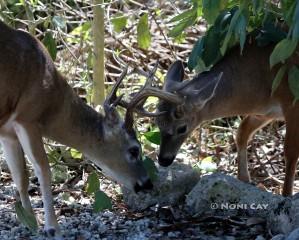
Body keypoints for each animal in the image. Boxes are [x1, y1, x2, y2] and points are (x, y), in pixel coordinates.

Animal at [0, 20, 180, 238]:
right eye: (134, 150)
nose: (146, 183)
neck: (53, 104)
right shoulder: (28, 117)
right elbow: (43, 170)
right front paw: (53, 228)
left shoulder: (7, 131)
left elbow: (21, 177)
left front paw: (30, 223)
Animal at [155, 39, 299, 197]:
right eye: (157, 123)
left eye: (182, 128)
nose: (163, 160)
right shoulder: (266, 112)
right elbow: (242, 132)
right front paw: (244, 179)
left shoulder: (292, 102)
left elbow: (291, 151)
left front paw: (287, 194)